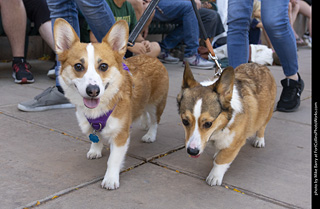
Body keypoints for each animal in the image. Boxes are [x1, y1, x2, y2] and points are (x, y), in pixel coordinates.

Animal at [54, 19, 170, 189]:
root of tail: (151, 57)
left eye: (103, 66)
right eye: (78, 66)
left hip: (156, 104)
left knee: (155, 121)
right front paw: (95, 150)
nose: (93, 91)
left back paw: (150, 135)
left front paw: (110, 179)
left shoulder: (120, 135)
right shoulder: (93, 126)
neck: (99, 109)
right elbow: (95, 138)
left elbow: (113, 160)